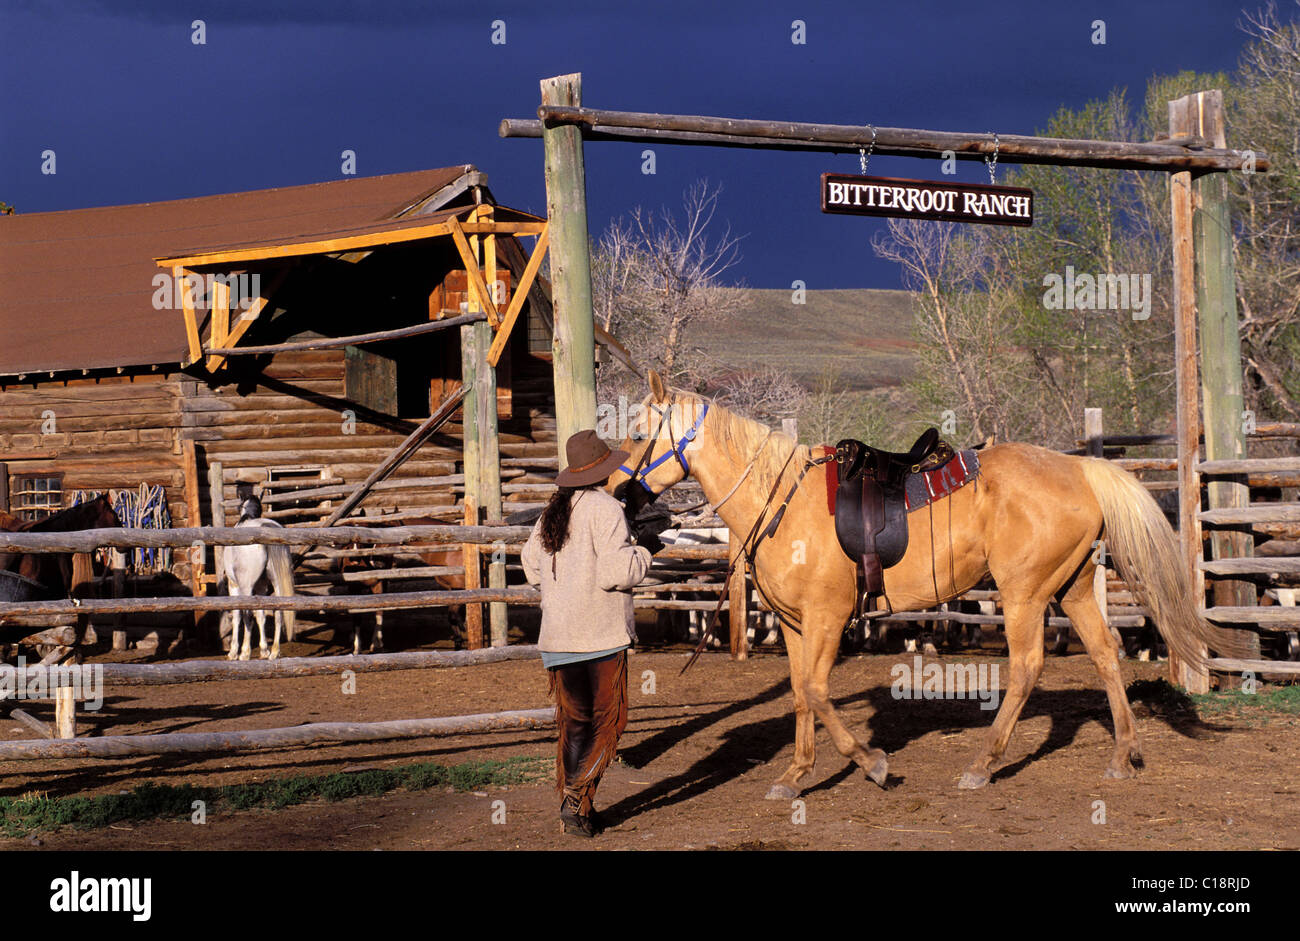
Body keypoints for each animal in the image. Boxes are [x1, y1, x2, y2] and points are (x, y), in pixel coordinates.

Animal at [223, 491, 297, 662]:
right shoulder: (261, 587)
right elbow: (261, 615)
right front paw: (264, 650)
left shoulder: (233, 585)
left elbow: (238, 616)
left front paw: (234, 652)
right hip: (276, 582)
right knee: (278, 613)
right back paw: (274, 652)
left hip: (245, 587)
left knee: (247, 615)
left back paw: (245, 653)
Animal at [608, 371, 1248, 795]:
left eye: (638, 434)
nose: (616, 490)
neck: (782, 500)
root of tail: (1079, 466)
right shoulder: (792, 624)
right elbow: (799, 693)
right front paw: (796, 774)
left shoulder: (828, 618)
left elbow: (816, 689)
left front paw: (871, 763)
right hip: (1072, 586)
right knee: (1107, 654)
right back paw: (1123, 753)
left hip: (1023, 594)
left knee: (1027, 666)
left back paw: (984, 763)